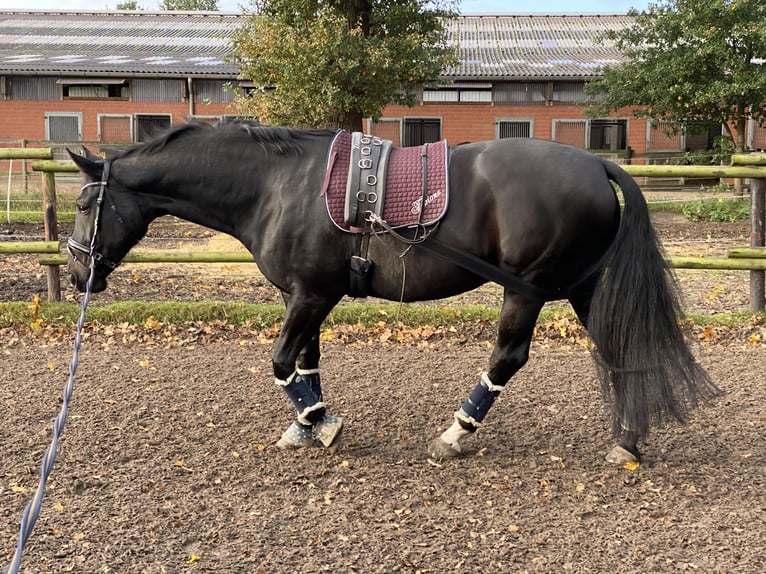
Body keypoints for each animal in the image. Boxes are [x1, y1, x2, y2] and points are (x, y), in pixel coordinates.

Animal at [66, 121, 720, 464]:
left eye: (84, 204)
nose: (77, 275)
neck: (277, 186)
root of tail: (596, 164)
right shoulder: (306, 297)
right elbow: (305, 362)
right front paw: (306, 423)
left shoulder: (312, 295)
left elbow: (280, 361)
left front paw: (319, 422)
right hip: (580, 287)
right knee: (619, 348)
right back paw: (627, 440)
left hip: (529, 289)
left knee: (508, 357)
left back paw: (457, 432)